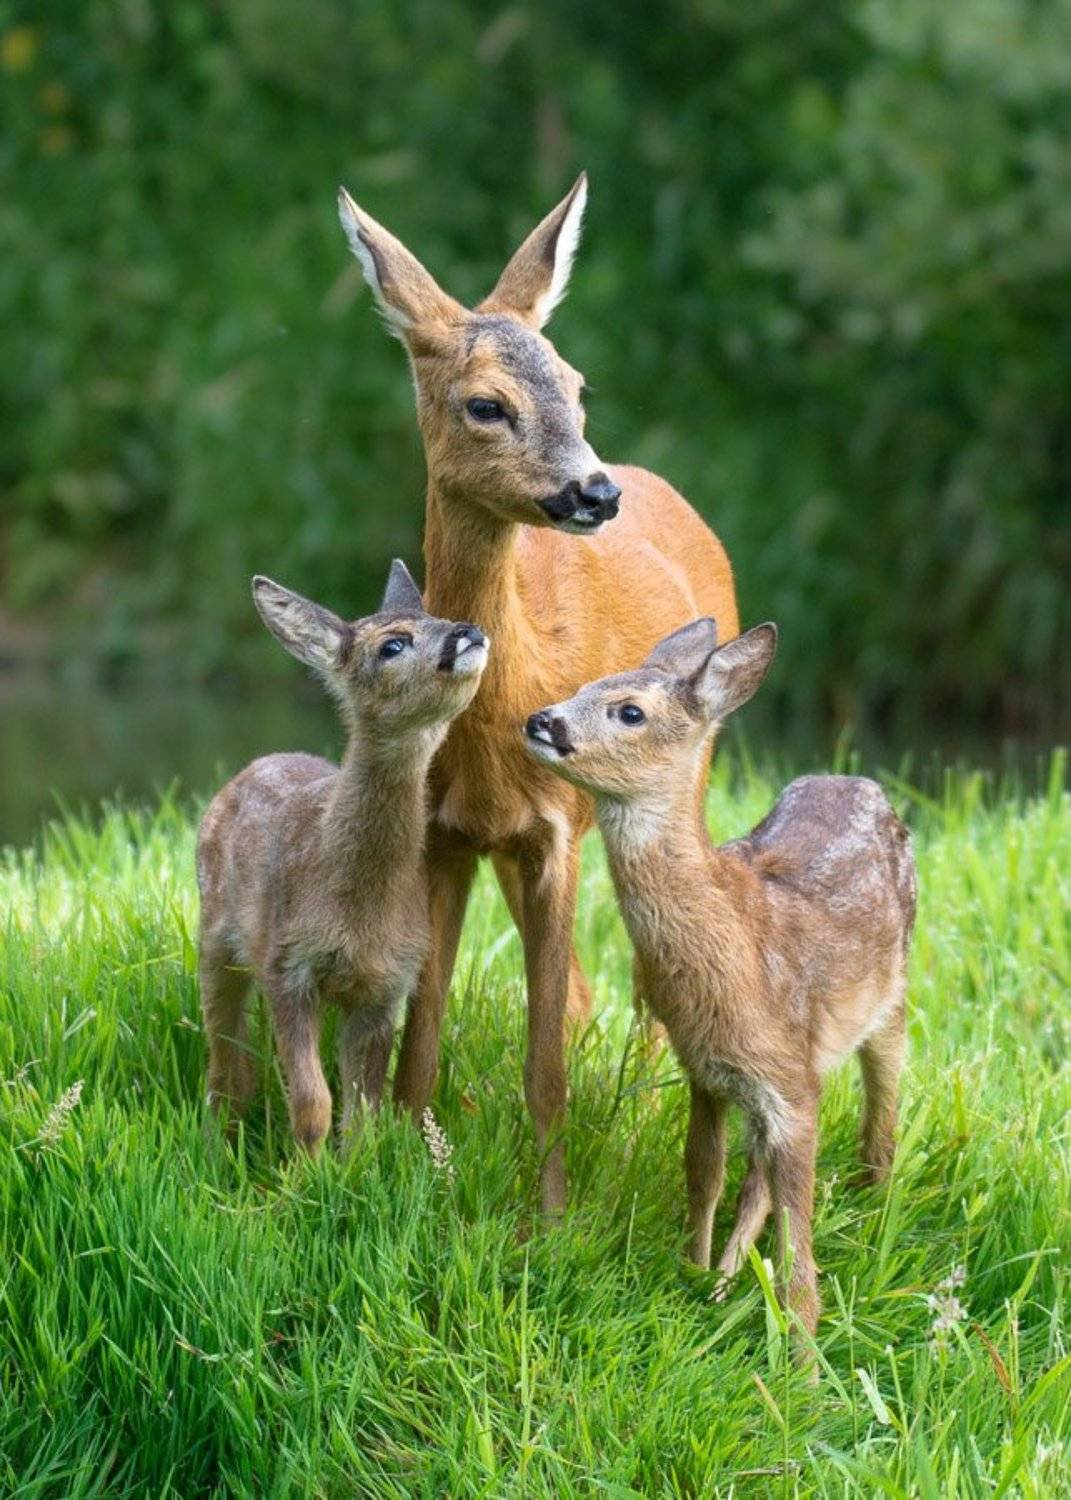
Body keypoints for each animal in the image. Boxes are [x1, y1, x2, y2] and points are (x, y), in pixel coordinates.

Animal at [196, 561, 489, 1156]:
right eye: (392, 644)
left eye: (440, 616)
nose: (467, 631)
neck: (354, 911)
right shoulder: (286, 964)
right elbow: (313, 1102)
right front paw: (306, 1172)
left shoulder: (388, 983)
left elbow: (364, 1111)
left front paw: (350, 1167)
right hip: (214, 934)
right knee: (222, 1050)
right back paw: (217, 1139)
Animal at [337, 172, 739, 1213]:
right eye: (485, 404)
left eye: (578, 386)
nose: (593, 493)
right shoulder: (446, 836)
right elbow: (421, 1043)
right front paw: (420, 1177)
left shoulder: (554, 829)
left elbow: (544, 1064)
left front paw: (547, 1215)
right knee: (588, 992)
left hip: (689, 768)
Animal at [523, 617, 916, 1339]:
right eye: (583, 686)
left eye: (629, 711)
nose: (542, 720)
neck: (734, 958)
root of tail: (861, 782)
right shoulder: (704, 1069)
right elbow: (703, 1172)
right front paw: (695, 1273)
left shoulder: (793, 1080)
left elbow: (797, 1241)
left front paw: (802, 1351)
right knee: (754, 1175)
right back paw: (729, 1280)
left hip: (892, 997)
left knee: (883, 1112)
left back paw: (875, 1208)